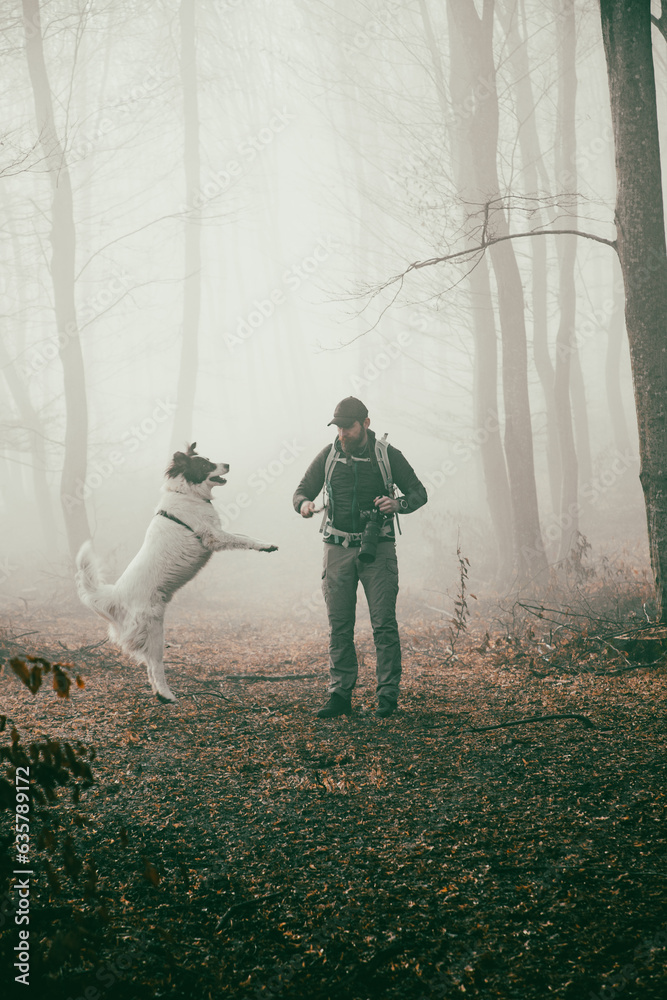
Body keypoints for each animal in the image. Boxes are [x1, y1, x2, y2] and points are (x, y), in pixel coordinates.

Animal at [74, 446, 278, 704]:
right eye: (206, 465)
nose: (228, 464)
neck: (187, 493)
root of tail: (115, 597)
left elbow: (244, 534)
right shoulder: (214, 536)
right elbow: (244, 539)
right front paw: (265, 545)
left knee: (149, 667)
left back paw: (160, 695)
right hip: (154, 631)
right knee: (155, 666)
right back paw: (166, 694)